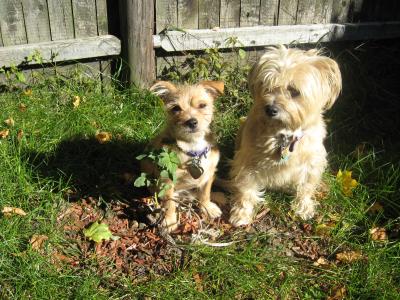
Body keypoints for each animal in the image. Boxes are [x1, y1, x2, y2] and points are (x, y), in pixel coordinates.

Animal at [146, 80, 223, 232]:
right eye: (176, 108)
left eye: (202, 105)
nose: (191, 122)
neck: (192, 148)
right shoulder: (166, 180)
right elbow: (169, 203)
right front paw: (170, 221)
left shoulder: (209, 174)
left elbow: (205, 193)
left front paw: (207, 207)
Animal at [230, 45, 342, 226]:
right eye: (266, 86)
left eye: (294, 91)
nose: (270, 109)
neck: (283, 135)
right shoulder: (246, 163)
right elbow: (246, 190)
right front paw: (241, 213)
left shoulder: (312, 163)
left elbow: (306, 187)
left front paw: (304, 208)